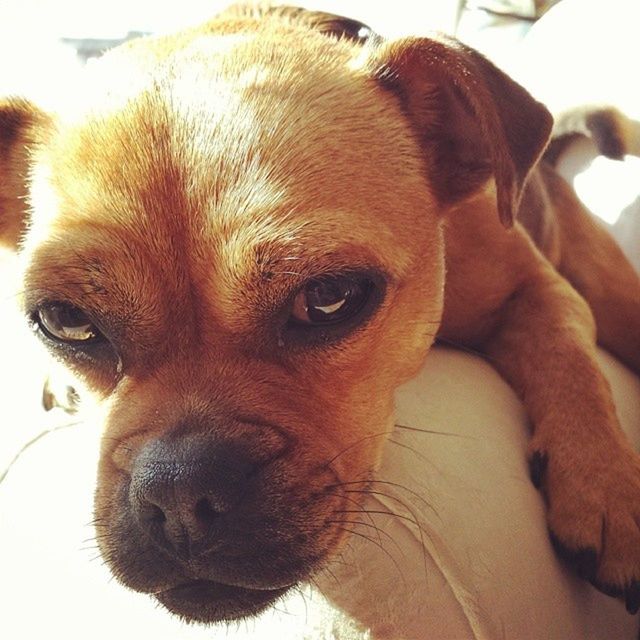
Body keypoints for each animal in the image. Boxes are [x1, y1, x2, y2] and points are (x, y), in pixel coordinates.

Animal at [1, 3, 640, 624]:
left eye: (330, 297)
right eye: (64, 320)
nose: (179, 489)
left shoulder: (536, 289)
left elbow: (569, 358)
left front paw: (604, 483)